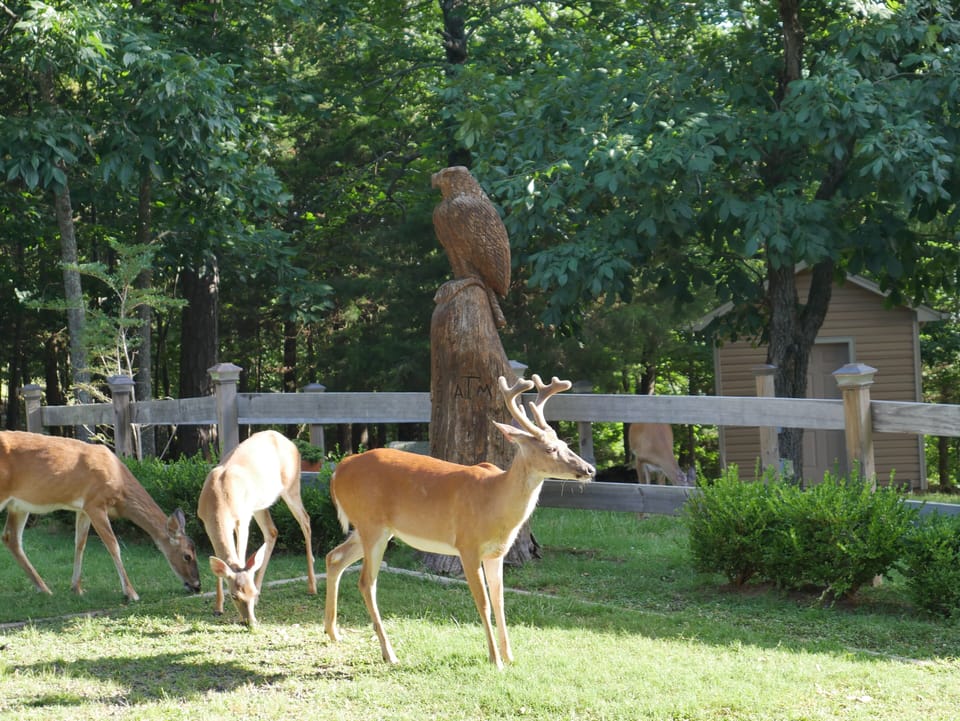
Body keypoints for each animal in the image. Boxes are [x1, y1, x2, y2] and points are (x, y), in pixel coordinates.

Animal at [0, 430, 201, 601]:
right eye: (187, 556)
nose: (197, 586)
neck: (119, 483)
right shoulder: (95, 503)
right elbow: (113, 545)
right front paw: (131, 593)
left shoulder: (83, 508)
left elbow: (80, 544)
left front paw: (77, 588)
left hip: (18, 505)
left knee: (11, 538)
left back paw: (44, 588)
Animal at [197, 429, 316, 627]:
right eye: (234, 596)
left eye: (250, 593)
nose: (250, 621)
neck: (219, 500)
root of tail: (290, 442)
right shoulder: (206, 523)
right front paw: (218, 607)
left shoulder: (243, 519)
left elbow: (240, 555)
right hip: (261, 504)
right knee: (272, 531)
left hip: (291, 486)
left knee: (305, 520)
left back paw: (312, 587)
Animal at [324, 374, 596, 669]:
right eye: (550, 449)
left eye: (567, 445)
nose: (589, 469)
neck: (495, 500)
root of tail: (338, 471)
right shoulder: (468, 545)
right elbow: (484, 602)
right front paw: (495, 660)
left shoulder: (497, 552)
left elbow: (500, 600)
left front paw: (510, 656)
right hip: (371, 524)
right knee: (366, 582)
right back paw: (389, 653)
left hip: (373, 528)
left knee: (334, 557)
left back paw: (333, 631)